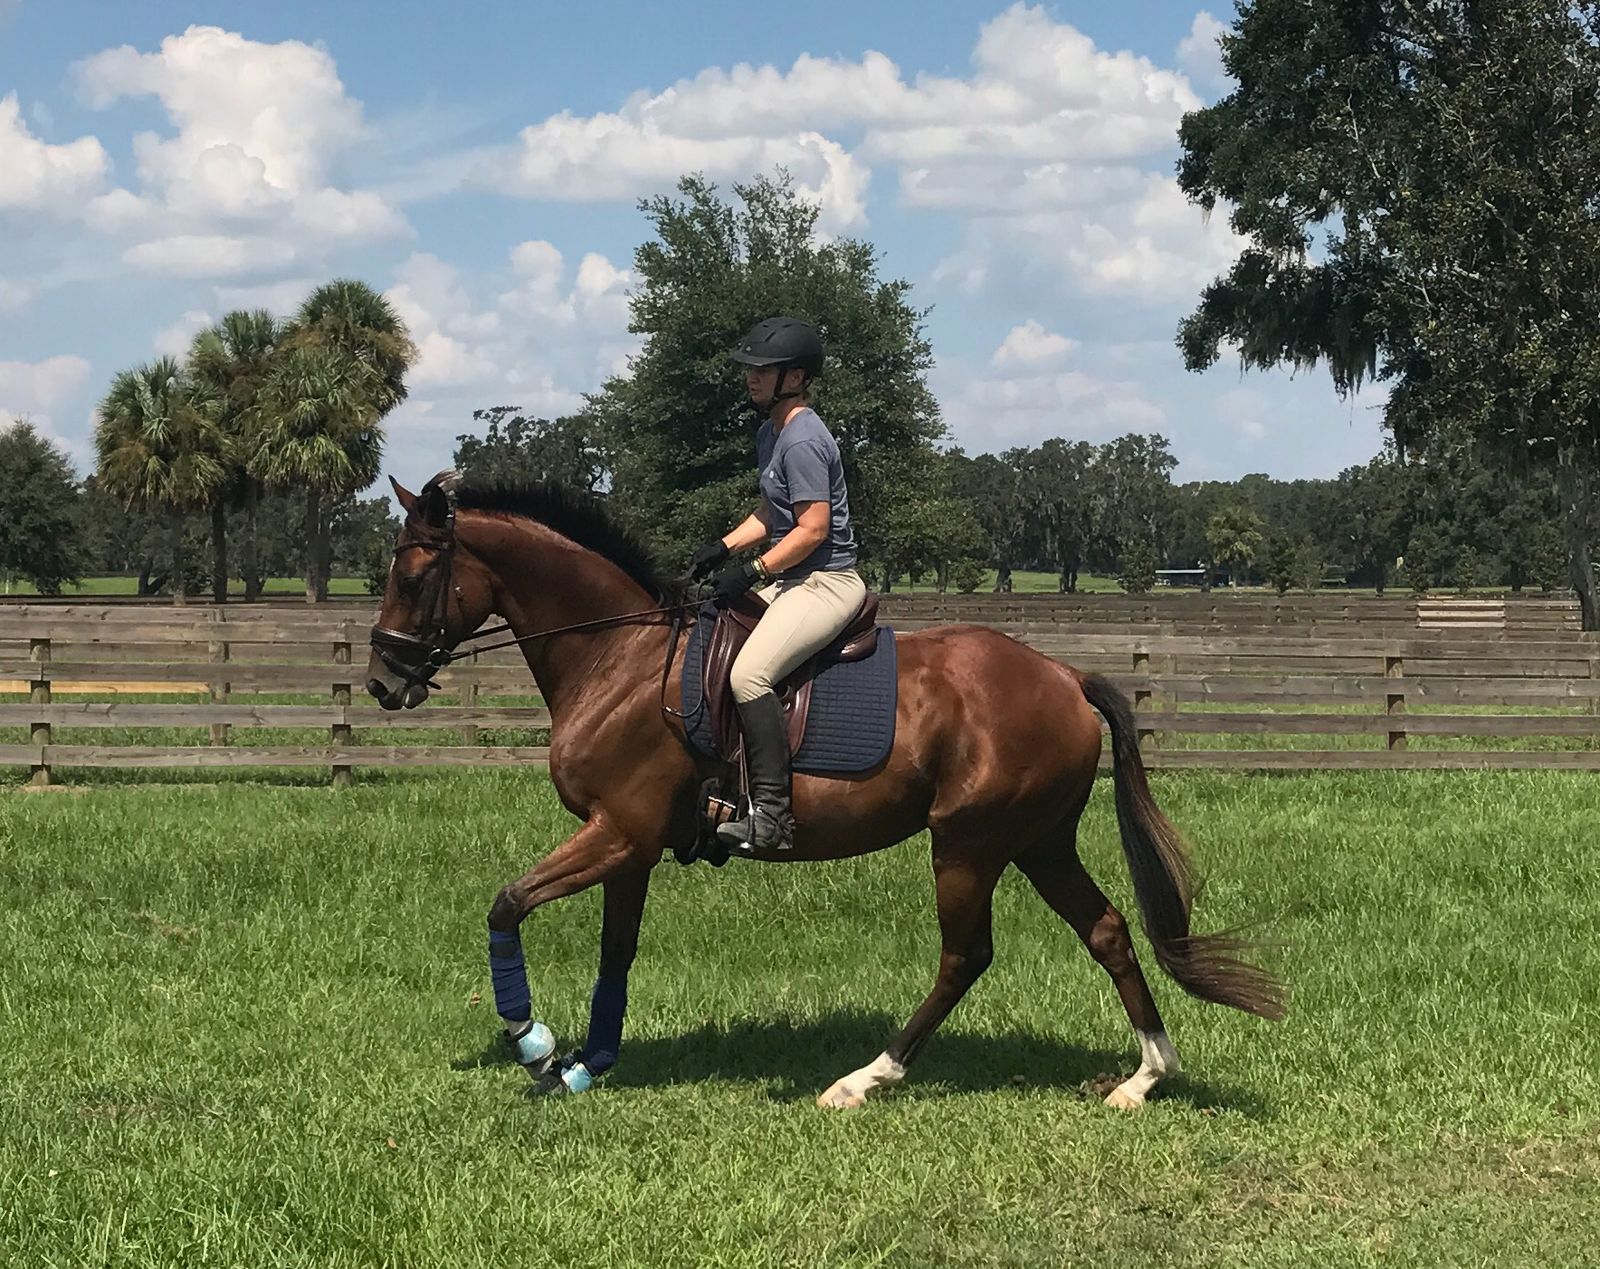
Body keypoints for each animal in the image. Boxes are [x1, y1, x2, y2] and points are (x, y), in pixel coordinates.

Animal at [366, 473, 1284, 1109]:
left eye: (411, 578)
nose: (382, 682)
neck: (618, 658)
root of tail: (1063, 675)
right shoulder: (630, 843)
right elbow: (613, 952)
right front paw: (588, 1064)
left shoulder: (617, 831)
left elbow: (507, 903)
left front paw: (534, 1043)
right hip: (1037, 842)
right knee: (1107, 930)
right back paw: (1144, 1075)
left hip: (970, 844)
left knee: (965, 956)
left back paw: (865, 1078)